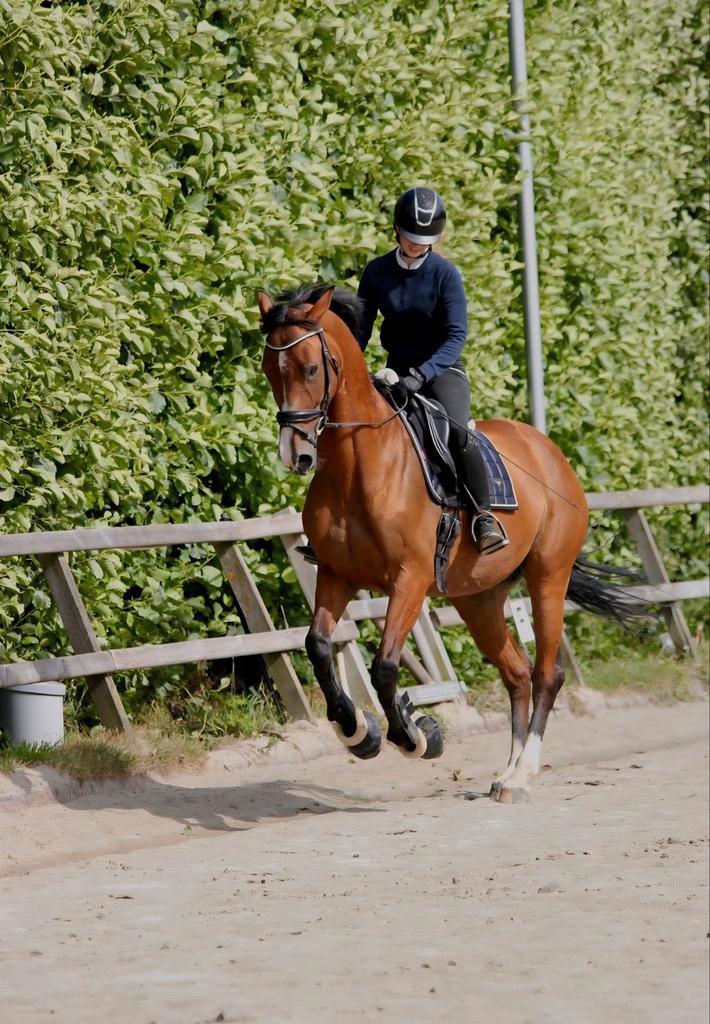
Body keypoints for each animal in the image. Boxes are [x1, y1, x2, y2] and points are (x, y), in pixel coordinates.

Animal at [258, 283, 633, 802]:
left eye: (312, 367)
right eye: (268, 368)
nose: (296, 454)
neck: (360, 466)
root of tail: (549, 452)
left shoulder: (409, 580)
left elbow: (385, 666)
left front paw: (414, 736)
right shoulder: (336, 575)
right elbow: (317, 646)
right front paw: (356, 731)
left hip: (547, 579)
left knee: (546, 673)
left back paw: (523, 774)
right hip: (478, 598)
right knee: (517, 672)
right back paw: (506, 772)